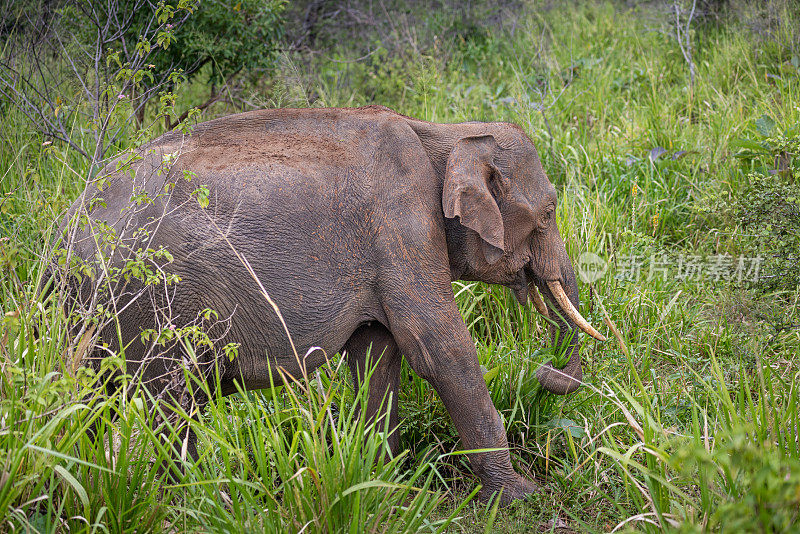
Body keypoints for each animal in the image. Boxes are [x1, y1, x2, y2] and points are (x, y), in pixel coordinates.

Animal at [56, 105, 604, 506]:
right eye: (550, 211)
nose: (544, 372)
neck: (446, 132)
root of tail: (60, 236)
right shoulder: (401, 222)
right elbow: (437, 348)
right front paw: (522, 496)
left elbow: (377, 354)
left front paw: (383, 482)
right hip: (151, 303)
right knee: (170, 401)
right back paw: (193, 502)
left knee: (94, 400)